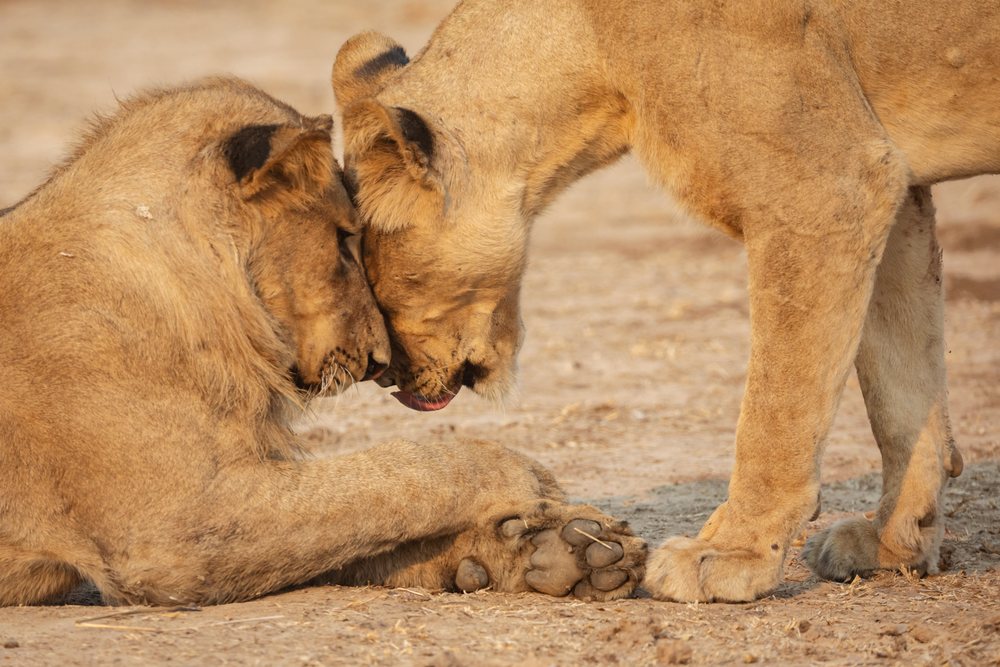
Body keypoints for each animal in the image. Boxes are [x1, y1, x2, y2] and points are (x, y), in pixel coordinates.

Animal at [0, 77, 645, 606]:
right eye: (341, 240)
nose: (382, 362)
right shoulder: (177, 529)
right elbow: (403, 472)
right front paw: (525, 477)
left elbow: (370, 531)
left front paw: (563, 551)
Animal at [332, 0, 993, 602]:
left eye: (374, 282)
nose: (385, 376)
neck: (597, 56)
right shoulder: (893, 188)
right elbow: (901, 392)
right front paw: (894, 546)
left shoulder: (824, 190)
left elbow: (776, 408)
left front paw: (730, 555)